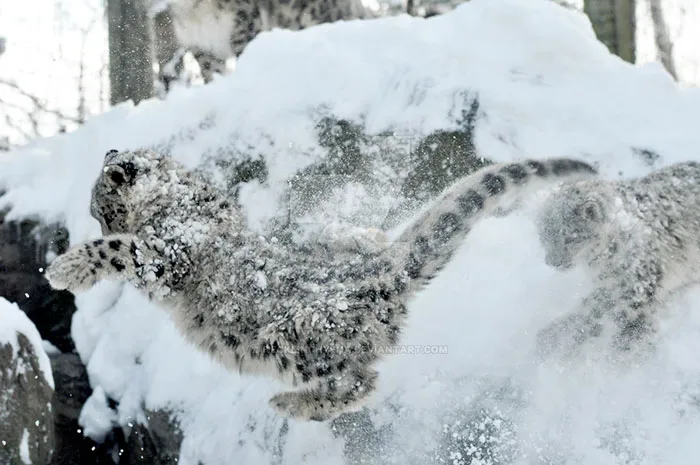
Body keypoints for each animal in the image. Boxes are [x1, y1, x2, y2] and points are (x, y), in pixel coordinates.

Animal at [45, 148, 597, 421]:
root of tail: (375, 275)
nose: (95, 223)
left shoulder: (168, 259)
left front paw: (66, 268)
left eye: (100, 208)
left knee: (359, 381)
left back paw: (290, 405)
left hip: (295, 341)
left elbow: (122, 252)